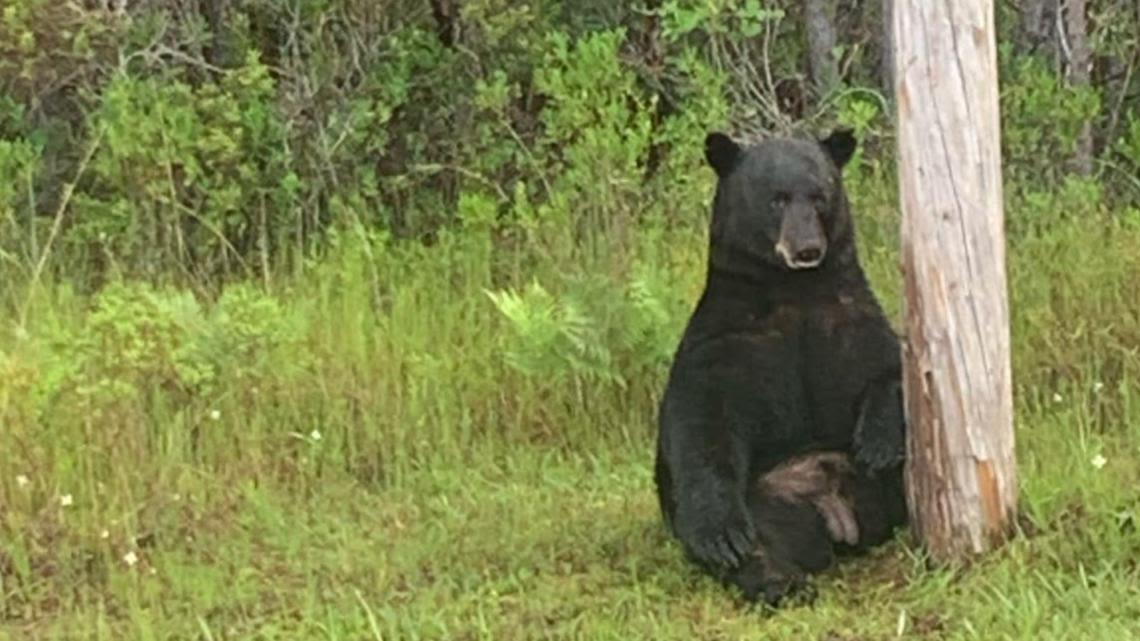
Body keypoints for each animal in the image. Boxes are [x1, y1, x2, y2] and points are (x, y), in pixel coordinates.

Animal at [652, 128, 907, 602]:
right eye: (777, 199)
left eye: (820, 195)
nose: (807, 249)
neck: (794, 290)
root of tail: (836, 513)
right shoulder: (726, 342)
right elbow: (702, 423)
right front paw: (719, 535)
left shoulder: (851, 319)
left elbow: (891, 366)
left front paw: (878, 442)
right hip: (766, 500)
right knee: (758, 541)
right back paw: (778, 580)